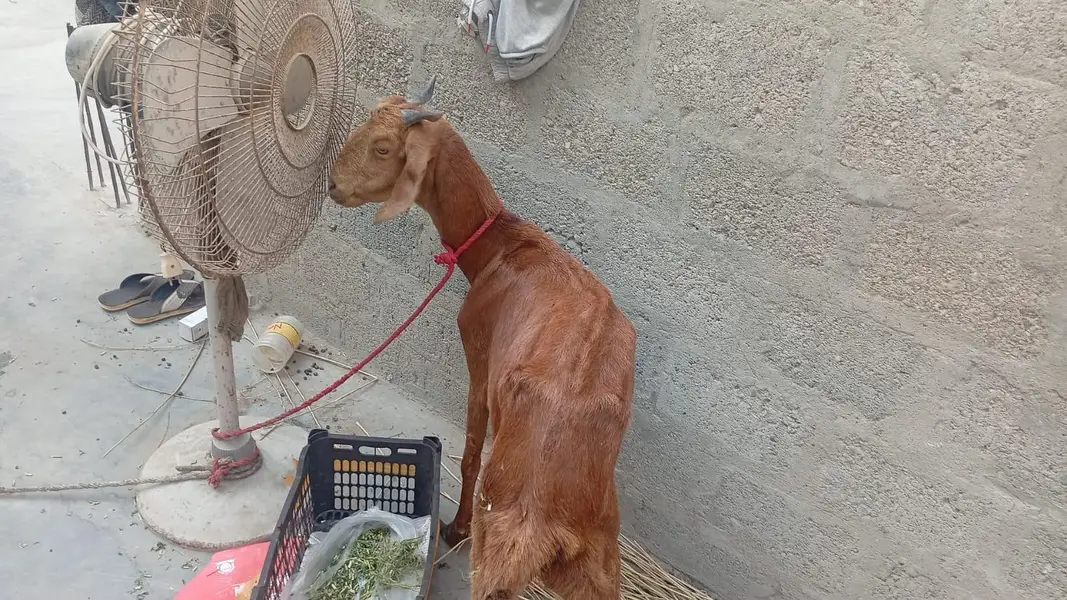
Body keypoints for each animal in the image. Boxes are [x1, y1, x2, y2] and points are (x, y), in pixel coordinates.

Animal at [327, 77, 637, 600]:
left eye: (384, 146)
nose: (331, 184)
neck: (500, 245)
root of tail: (551, 527)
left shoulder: (479, 355)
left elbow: (471, 450)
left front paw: (455, 528)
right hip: (600, 565)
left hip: (499, 550)